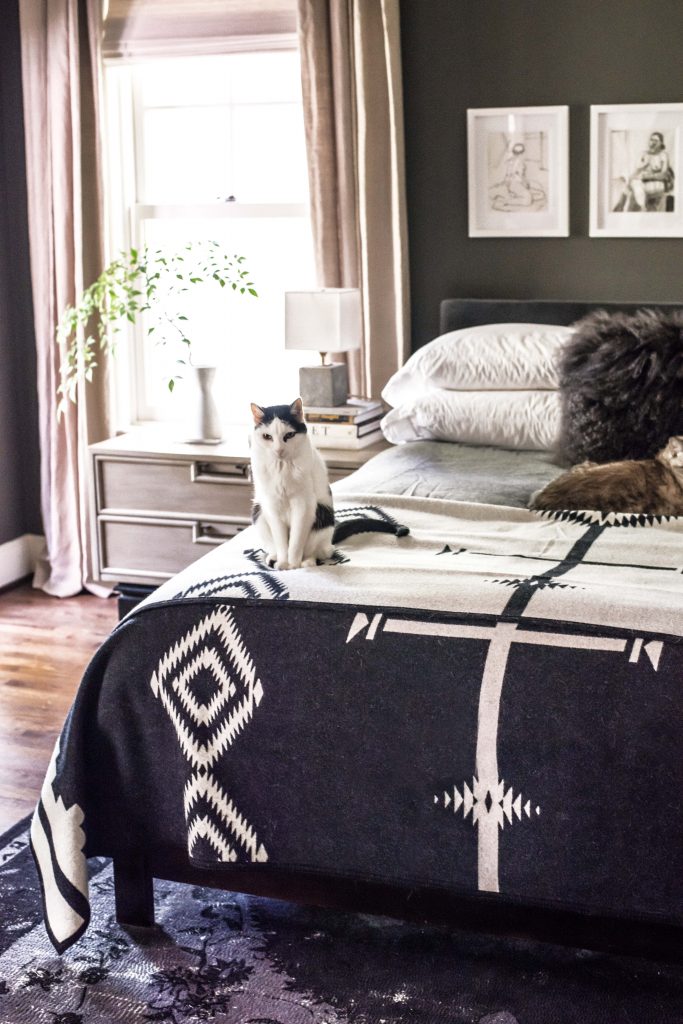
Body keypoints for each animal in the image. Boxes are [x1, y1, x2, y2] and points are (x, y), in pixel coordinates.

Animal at [250, 397, 335, 573]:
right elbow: (282, 542)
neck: (281, 467)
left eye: (289, 435)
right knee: (273, 546)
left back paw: (307, 562)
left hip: (323, 515)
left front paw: (293, 564)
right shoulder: (272, 506)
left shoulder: (303, 505)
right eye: (267, 436)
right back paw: (274, 558)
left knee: (316, 551)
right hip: (258, 512)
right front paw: (283, 563)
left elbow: (295, 541)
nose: (279, 450)